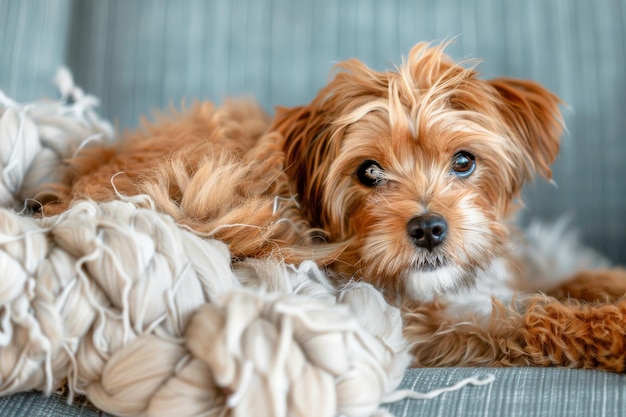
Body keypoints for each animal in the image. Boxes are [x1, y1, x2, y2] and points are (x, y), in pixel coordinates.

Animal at [37, 41, 624, 368]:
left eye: (464, 162)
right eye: (369, 172)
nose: (429, 229)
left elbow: (561, 280)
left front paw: (607, 283)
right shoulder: (426, 326)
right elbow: (530, 319)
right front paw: (613, 328)